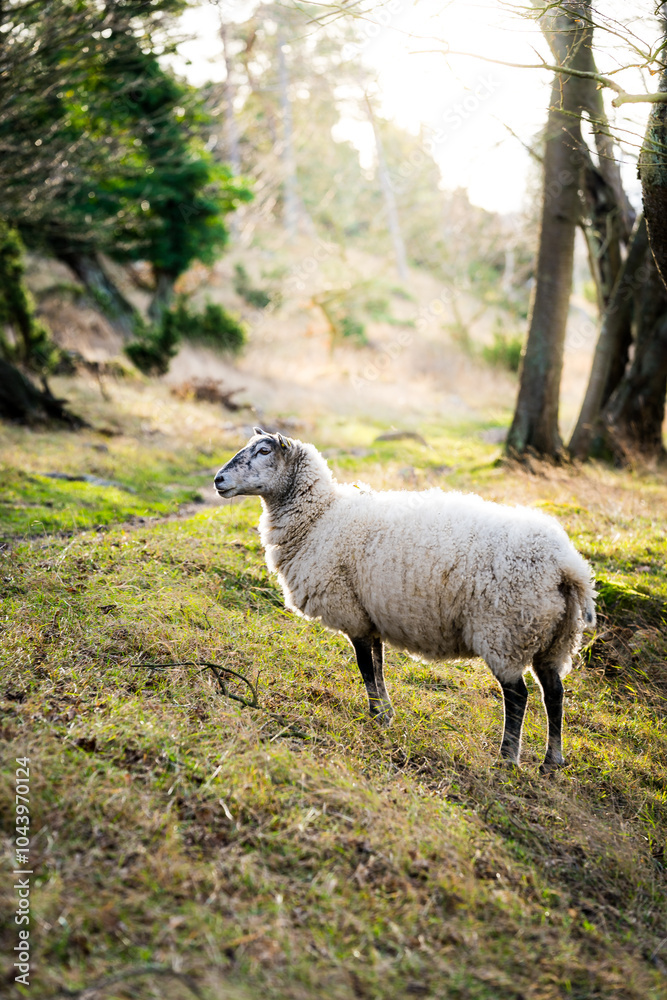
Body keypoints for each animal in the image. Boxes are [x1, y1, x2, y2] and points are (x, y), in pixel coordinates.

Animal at [214, 428, 596, 771]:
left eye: (264, 451)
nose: (218, 479)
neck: (320, 518)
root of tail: (567, 565)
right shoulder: (368, 613)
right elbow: (378, 664)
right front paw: (385, 712)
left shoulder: (351, 611)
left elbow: (365, 667)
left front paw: (375, 715)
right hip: (552, 637)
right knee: (554, 693)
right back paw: (551, 762)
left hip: (505, 632)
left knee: (518, 696)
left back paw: (507, 760)